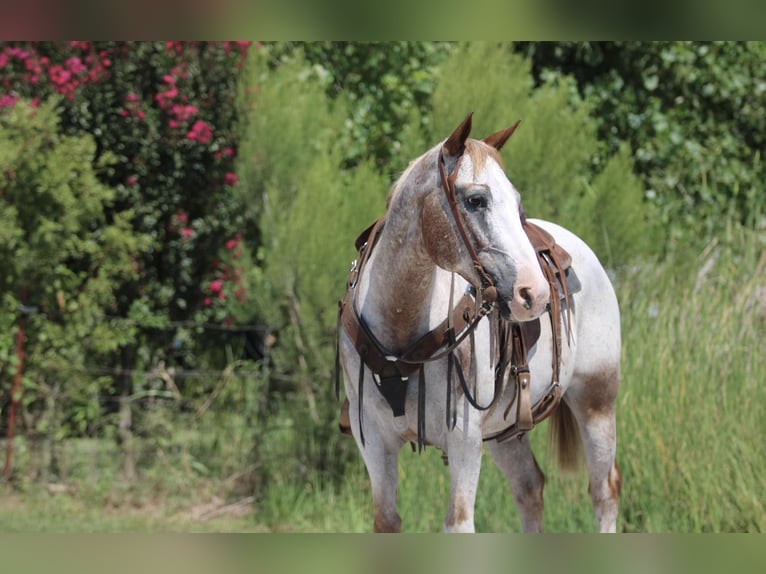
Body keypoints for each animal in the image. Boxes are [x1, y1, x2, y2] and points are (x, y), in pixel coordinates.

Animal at [338, 116, 624, 536]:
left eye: (517, 204)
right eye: (476, 200)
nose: (534, 292)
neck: (401, 331)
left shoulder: (464, 441)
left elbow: (458, 523)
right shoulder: (373, 442)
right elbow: (387, 520)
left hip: (596, 401)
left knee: (604, 493)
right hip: (507, 433)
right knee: (529, 488)